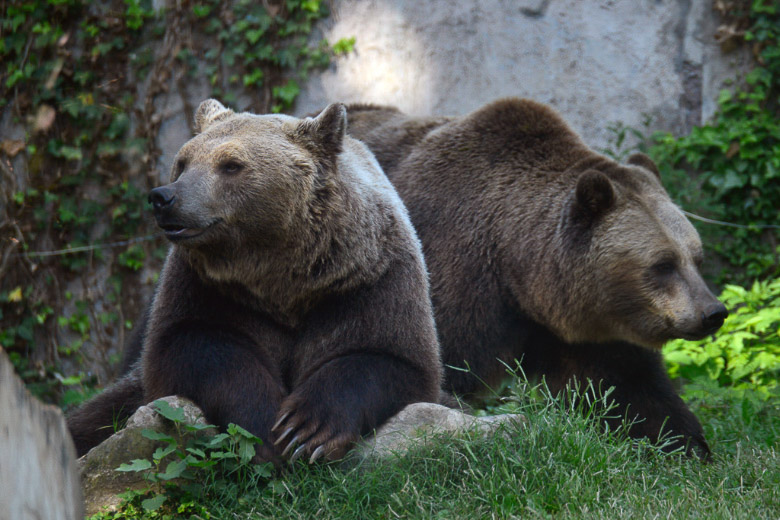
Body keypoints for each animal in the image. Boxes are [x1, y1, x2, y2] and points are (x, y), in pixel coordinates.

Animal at [66, 100, 442, 463]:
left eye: (231, 165)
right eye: (183, 162)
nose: (164, 197)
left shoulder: (365, 281)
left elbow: (384, 356)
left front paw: (307, 431)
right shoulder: (209, 289)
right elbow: (197, 346)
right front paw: (265, 431)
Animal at [344, 98, 728, 457]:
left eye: (696, 257)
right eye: (663, 264)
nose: (713, 312)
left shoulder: (584, 328)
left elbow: (631, 385)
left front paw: (686, 443)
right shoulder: (452, 279)